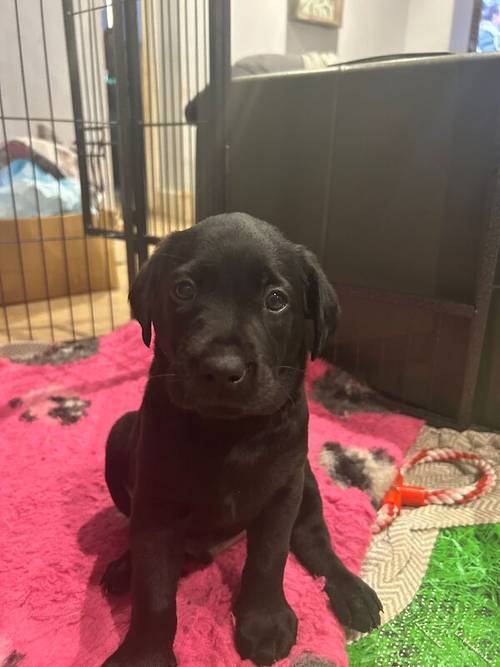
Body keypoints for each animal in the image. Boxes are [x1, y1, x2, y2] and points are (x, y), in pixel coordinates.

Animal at [102, 214, 382, 667]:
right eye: (184, 289)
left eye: (276, 300)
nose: (221, 369)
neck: (228, 431)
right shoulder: (155, 502)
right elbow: (154, 587)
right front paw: (144, 654)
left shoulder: (282, 490)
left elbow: (269, 558)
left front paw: (264, 623)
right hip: (119, 436)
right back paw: (125, 566)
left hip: (305, 478)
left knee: (313, 537)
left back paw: (349, 589)